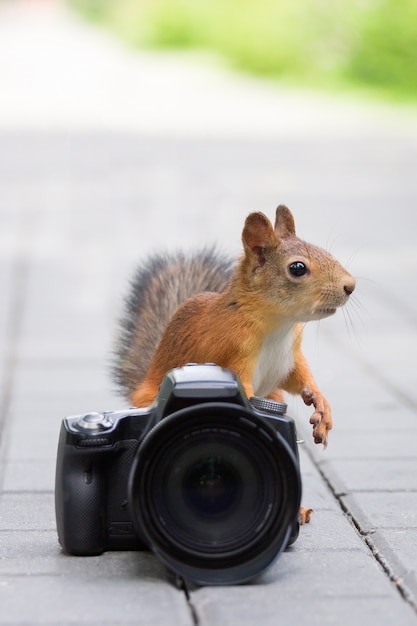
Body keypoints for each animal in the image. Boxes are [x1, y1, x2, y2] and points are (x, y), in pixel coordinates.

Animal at [114, 205, 354, 448]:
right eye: (297, 268)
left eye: (323, 251)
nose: (350, 286)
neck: (277, 326)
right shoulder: (233, 352)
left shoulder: (290, 357)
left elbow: (299, 378)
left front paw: (321, 405)